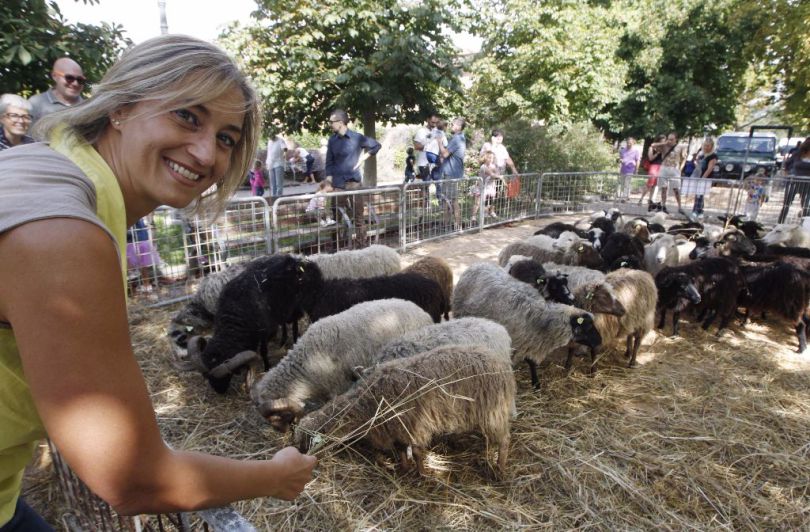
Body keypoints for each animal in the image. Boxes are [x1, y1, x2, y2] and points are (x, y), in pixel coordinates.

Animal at [188, 254, 318, 394]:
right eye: (206, 376)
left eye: (227, 374)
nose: (219, 391)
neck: (237, 309)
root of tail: (291, 257)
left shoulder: (263, 332)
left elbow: (263, 351)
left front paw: (266, 368)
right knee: (283, 323)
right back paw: (282, 340)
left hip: (294, 306)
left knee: (293, 324)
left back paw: (294, 340)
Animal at [452, 264, 604, 388]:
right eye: (587, 327)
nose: (600, 341)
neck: (540, 319)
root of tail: (476, 265)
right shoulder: (520, 340)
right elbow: (529, 361)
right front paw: (536, 384)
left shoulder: (529, 340)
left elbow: (531, 361)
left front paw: (535, 382)